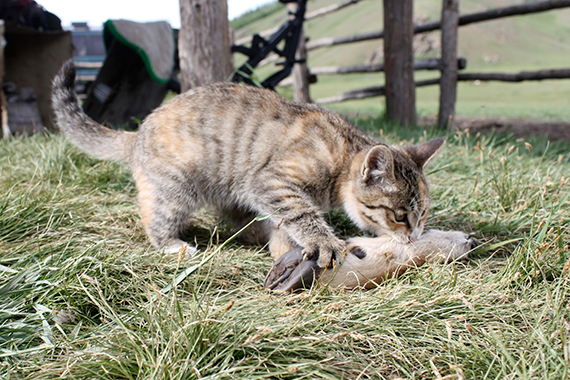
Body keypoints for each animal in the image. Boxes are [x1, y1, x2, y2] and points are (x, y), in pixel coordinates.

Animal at [52, 60, 444, 268]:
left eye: (423, 214)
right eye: (399, 216)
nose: (415, 236)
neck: (343, 153)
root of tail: (137, 132)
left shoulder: (265, 192)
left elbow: (286, 224)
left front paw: (284, 244)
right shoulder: (272, 182)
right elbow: (302, 213)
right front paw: (324, 242)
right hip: (177, 189)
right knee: (156, 218)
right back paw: (172, 245)